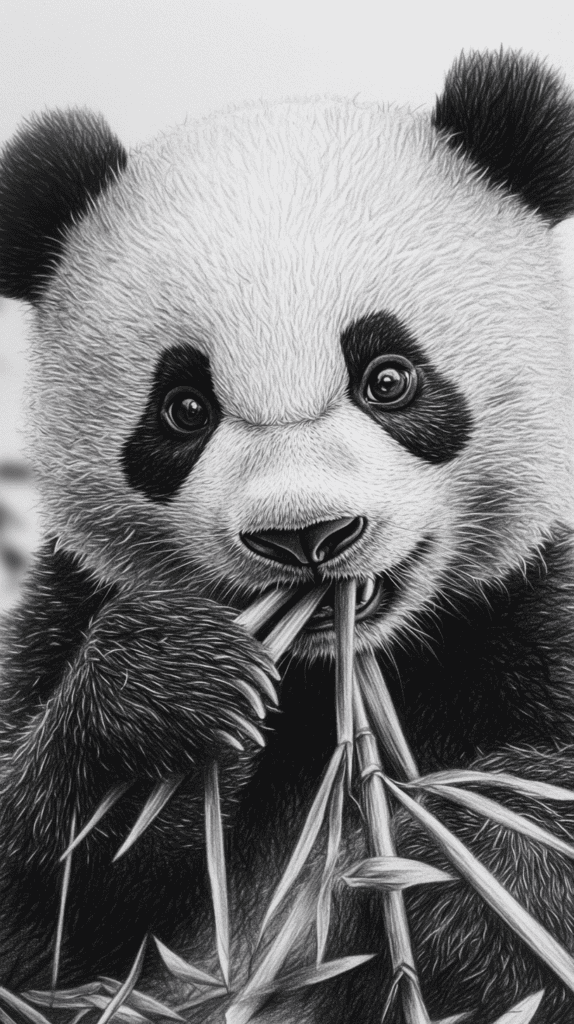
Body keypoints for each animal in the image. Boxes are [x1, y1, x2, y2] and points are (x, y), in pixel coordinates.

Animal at [1, 46, 574, 1024]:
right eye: (183, 408)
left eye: (390, 377)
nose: (306, 535)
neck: (333, 675)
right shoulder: (67, 605)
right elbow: (50, 905)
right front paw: (174, 691)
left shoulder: (533, 609)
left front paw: (457, 859)